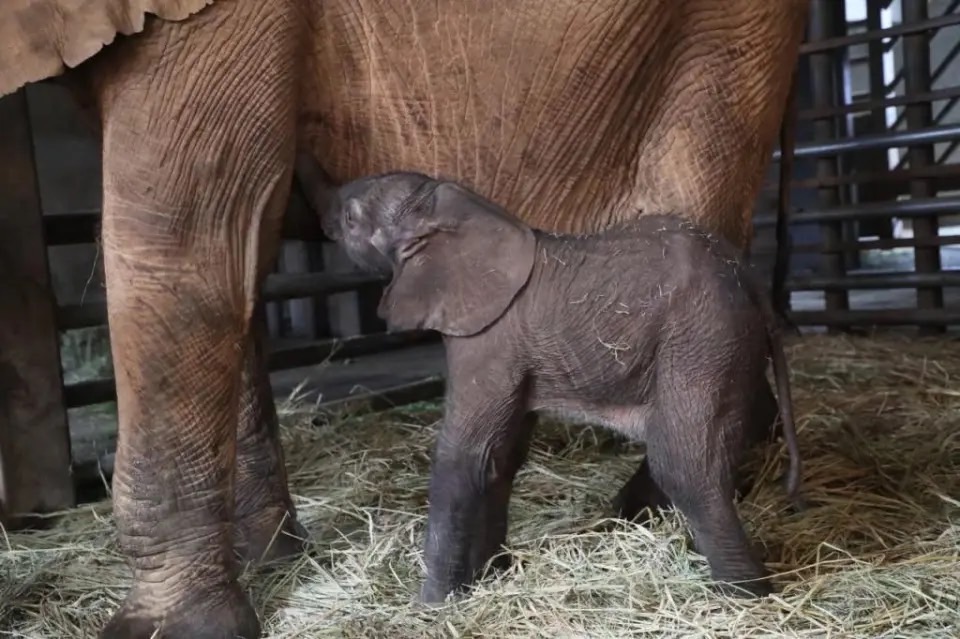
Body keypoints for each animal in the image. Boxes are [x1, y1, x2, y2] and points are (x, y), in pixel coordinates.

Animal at [298, 155, 804, 604]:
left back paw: (745, 598)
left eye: (351, 218)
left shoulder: (487, 340)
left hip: (703, 337)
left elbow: (466, 458)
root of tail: (748, 277)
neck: (455, 212)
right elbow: (500, 457)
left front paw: (432, 606)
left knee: (684, 463)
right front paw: (493, 576)